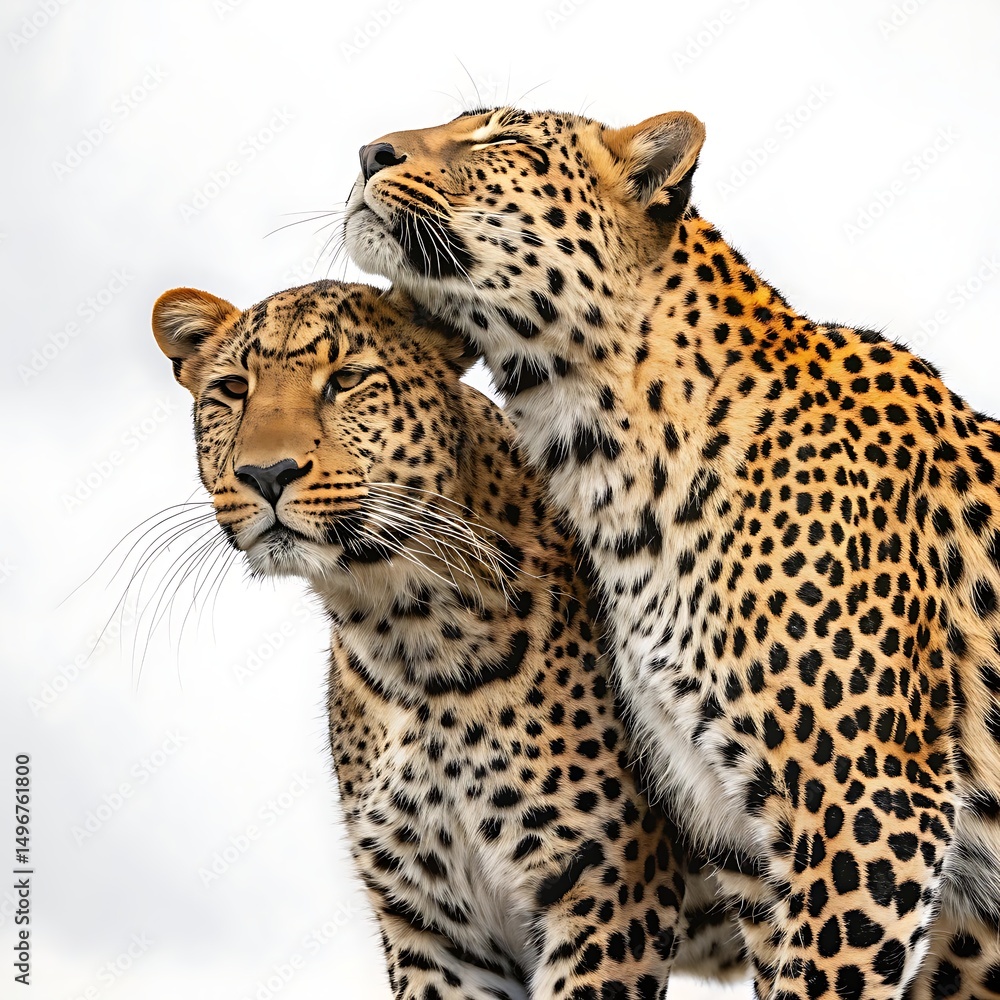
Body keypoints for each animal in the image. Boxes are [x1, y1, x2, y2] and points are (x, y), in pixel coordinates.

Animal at [150, 278, 748, 1000]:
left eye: (346, 379)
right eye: (233, 389)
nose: (268, 475)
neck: (406, 634)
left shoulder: (608, 881)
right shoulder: (433, 923)